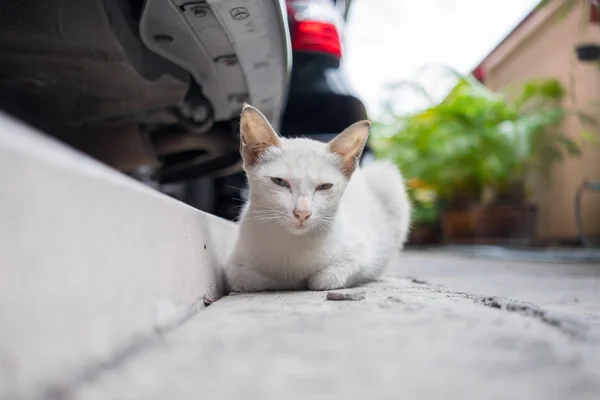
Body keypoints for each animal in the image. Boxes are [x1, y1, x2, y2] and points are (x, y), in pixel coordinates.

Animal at [223, 104, 410, 292]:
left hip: (387, 178)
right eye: (279, 182)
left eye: (324, 186)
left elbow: (325, 279)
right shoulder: (233, 267)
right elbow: (245, 277)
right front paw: (290, 280)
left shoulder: (363, 256)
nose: (302, 213)